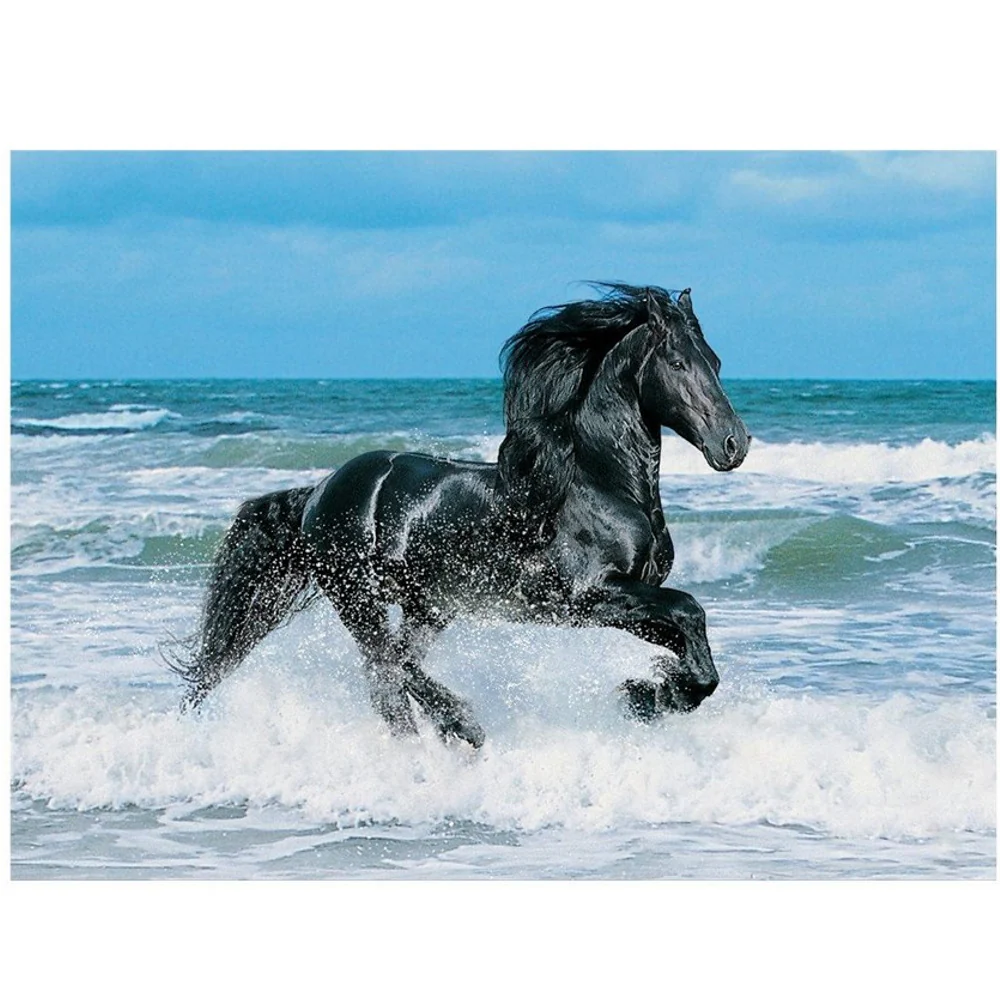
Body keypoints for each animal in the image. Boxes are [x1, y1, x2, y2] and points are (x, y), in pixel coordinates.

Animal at [168, 283, 750, 748]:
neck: (599, 484)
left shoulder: (631, 600)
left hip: (429, 606)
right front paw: (642, 696)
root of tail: (318, 492)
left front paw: (650, 695)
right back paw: (456, 728)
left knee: (395, 667)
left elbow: (693, 647)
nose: (733, 445)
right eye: (677, 363)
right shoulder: (590, 597)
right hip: (359, 598)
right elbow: (691, 610)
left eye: (717, 361)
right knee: (386, 666)